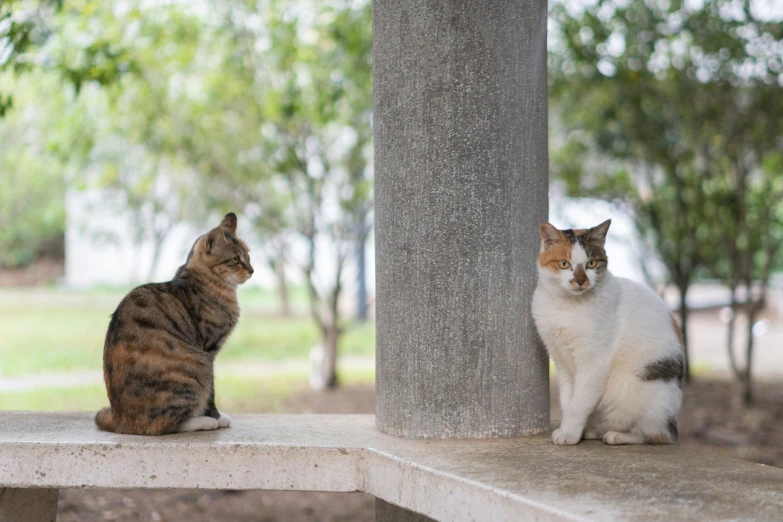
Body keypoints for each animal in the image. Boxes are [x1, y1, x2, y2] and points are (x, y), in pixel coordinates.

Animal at [94, 212, 254, 434]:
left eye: (248, 255)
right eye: (236, 259)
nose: (252, 270)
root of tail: (119, 419)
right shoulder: (209, 350)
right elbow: (211, 394)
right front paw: (216, 416)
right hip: (198, 365)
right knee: (165, 424)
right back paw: (203, 421)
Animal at [532, 219, 688, 442]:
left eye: (591, 263)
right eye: (564, 264)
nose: (580, 280)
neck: (566, 306)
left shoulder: (593, 364)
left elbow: (579, 404)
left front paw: (570, 434)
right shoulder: (562, 362)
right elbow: (568, 401)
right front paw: (574, 431)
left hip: (639, 395)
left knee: (657, 435)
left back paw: (618, 436)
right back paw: (591, 431)